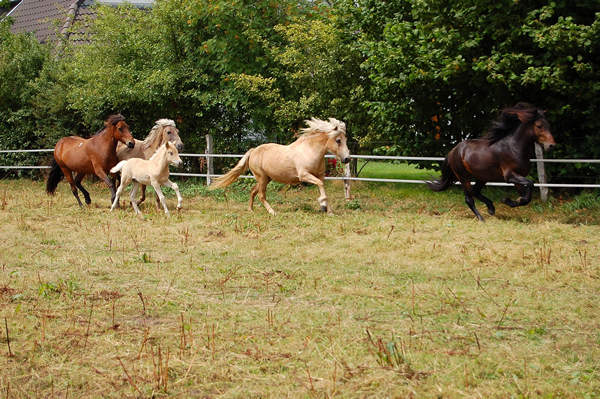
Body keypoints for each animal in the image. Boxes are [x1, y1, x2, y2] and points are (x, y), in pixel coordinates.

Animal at [211, 117, 352, 214]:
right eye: (338, 140)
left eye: (345, 140)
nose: (347, 159)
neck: (309, 150)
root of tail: (254, 150)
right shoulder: (304, 175)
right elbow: (321, 186)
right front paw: (323, 204)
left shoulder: (320, 176)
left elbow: (322, 187)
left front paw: (328, 210)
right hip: (262, 178)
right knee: (261, 195)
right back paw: (272, 212)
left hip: (266, 178)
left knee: (253, 191)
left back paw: (251, 210)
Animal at [428, 102, 556, 222]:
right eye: (539, 126)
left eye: (549, 125)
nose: (551, 145)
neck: (514, 147)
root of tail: (453, 151)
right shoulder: (509, 176)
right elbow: (530, 183)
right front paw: (506, 200)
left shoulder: (518, 177)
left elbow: (525, 197)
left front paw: (509, 201)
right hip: (464, 177)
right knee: (469, 199)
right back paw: (481, 219)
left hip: (482, 177)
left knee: (475, 191)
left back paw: (491, 208)